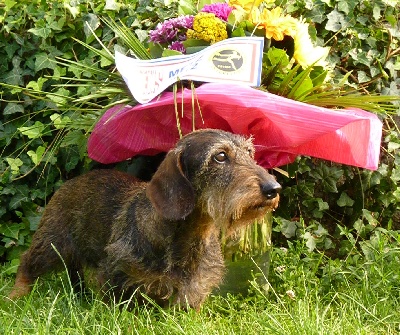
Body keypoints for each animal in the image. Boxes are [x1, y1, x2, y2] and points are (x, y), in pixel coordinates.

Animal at [7, 128, 280, 310]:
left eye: (250, 152)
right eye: (220, 156)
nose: (273, 188)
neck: (190, 236)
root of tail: (72, 181)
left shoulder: (194, 289)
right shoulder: (115, 273)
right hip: (52, 245)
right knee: (26, 262)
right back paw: (15, 296)